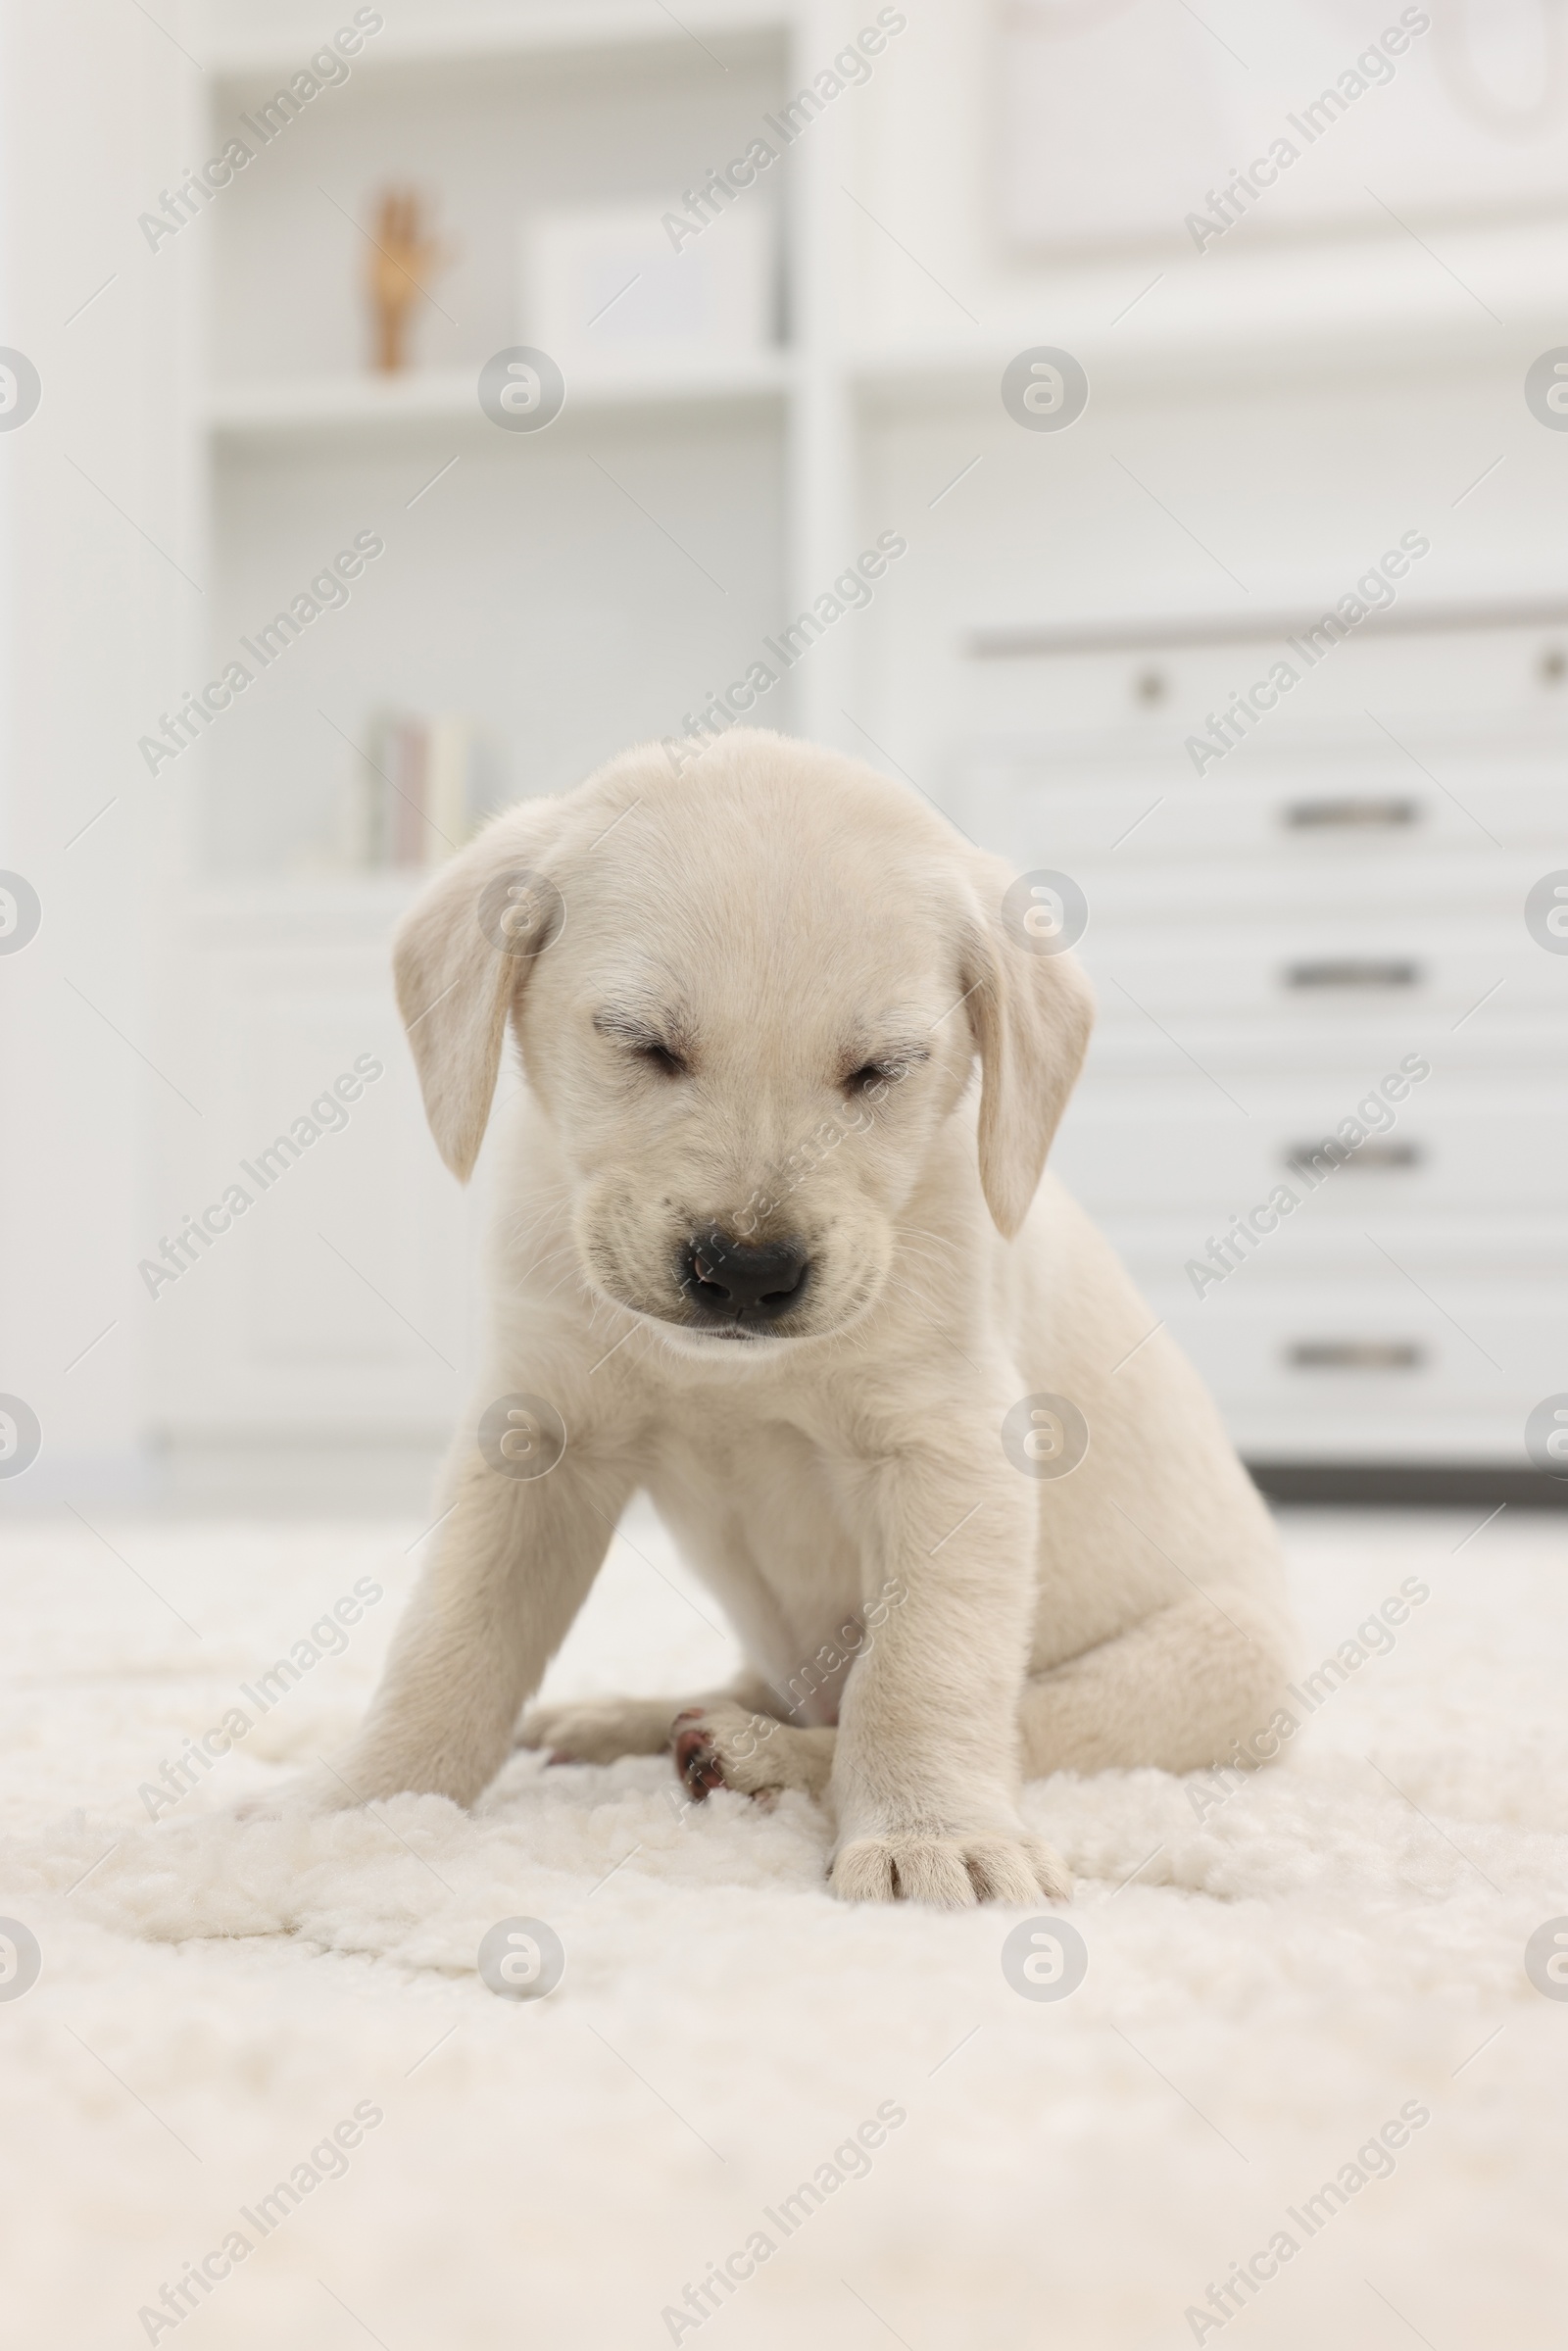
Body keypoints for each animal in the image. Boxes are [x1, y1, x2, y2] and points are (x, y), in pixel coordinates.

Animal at [287, 733, 1298, 1908]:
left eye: (881, 1070)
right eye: (641, 1042)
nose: (746, 1270)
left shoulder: (951, 1446)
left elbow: (917, 1671)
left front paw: (931, 1832)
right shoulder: (537, 1433)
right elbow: (454, 1639)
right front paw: (361, 1804)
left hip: (1224, 1660)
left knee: (964, 1718)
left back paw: (751, 1751)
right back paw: (635, 1719)